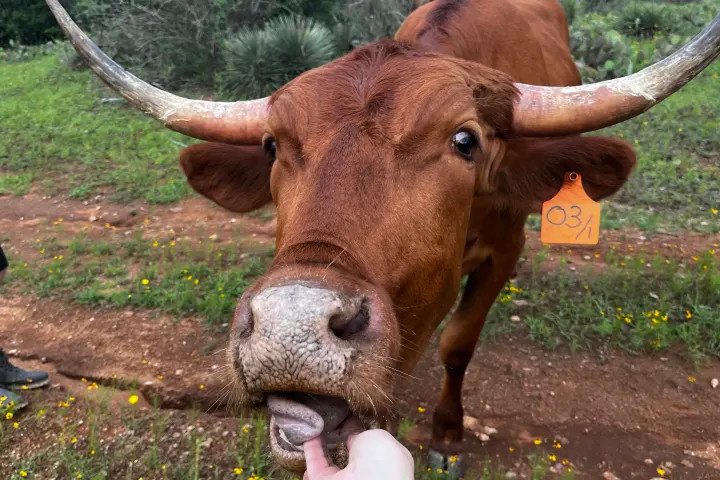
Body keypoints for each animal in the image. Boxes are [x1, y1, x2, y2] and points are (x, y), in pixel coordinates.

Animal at [47, 0, 720, 474]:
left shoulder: (506, 252)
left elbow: (458, 344)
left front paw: (447, 432)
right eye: (271, 145)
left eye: (465, 140)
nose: (291, 331)